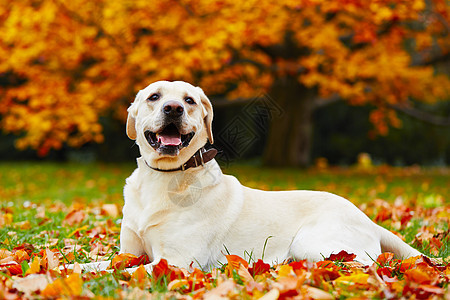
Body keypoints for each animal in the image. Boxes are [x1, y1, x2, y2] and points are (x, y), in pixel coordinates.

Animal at [78, 81, 422, 274]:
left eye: (189, 100)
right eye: (154, 97)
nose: (173, 108)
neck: (165, 177)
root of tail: (368, 219)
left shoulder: (176, 261)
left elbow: (117, 274)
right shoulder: (129, 253)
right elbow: (95, 266)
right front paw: (70, 268)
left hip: (312, 242)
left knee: (369, 264)